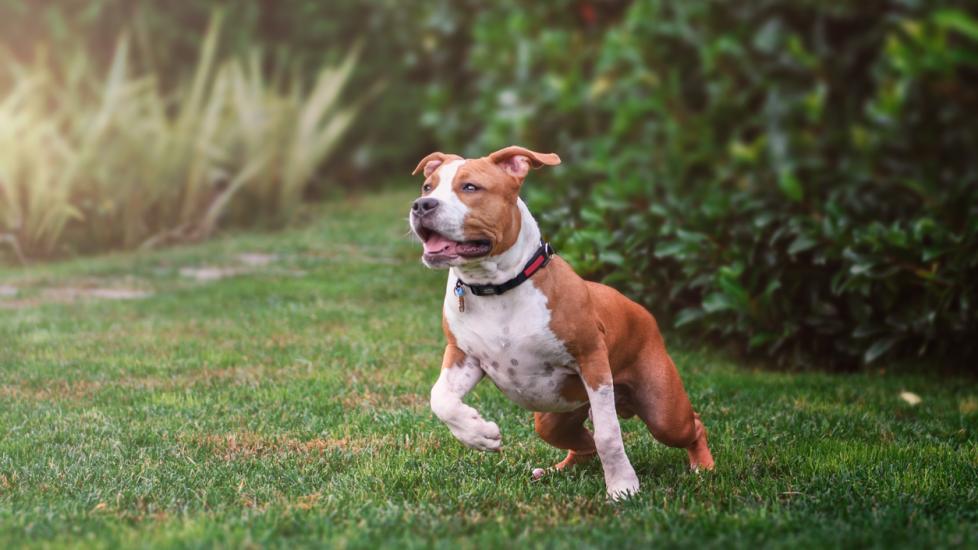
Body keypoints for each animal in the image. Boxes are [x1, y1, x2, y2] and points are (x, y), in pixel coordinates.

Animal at [408, 146, 712, 500]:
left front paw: (623, 487)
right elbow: (440, 398)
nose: (422, 205)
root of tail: (642, 311)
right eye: (427, 187)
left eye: (470, 187)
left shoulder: (592, 360)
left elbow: (609, 435)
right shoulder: (463, 355)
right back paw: (555, 471)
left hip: (664, 412)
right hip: (554, 420)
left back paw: (704, 467)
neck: (497, 287)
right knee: (583, 444)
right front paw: (479, 434)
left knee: (691, 424)